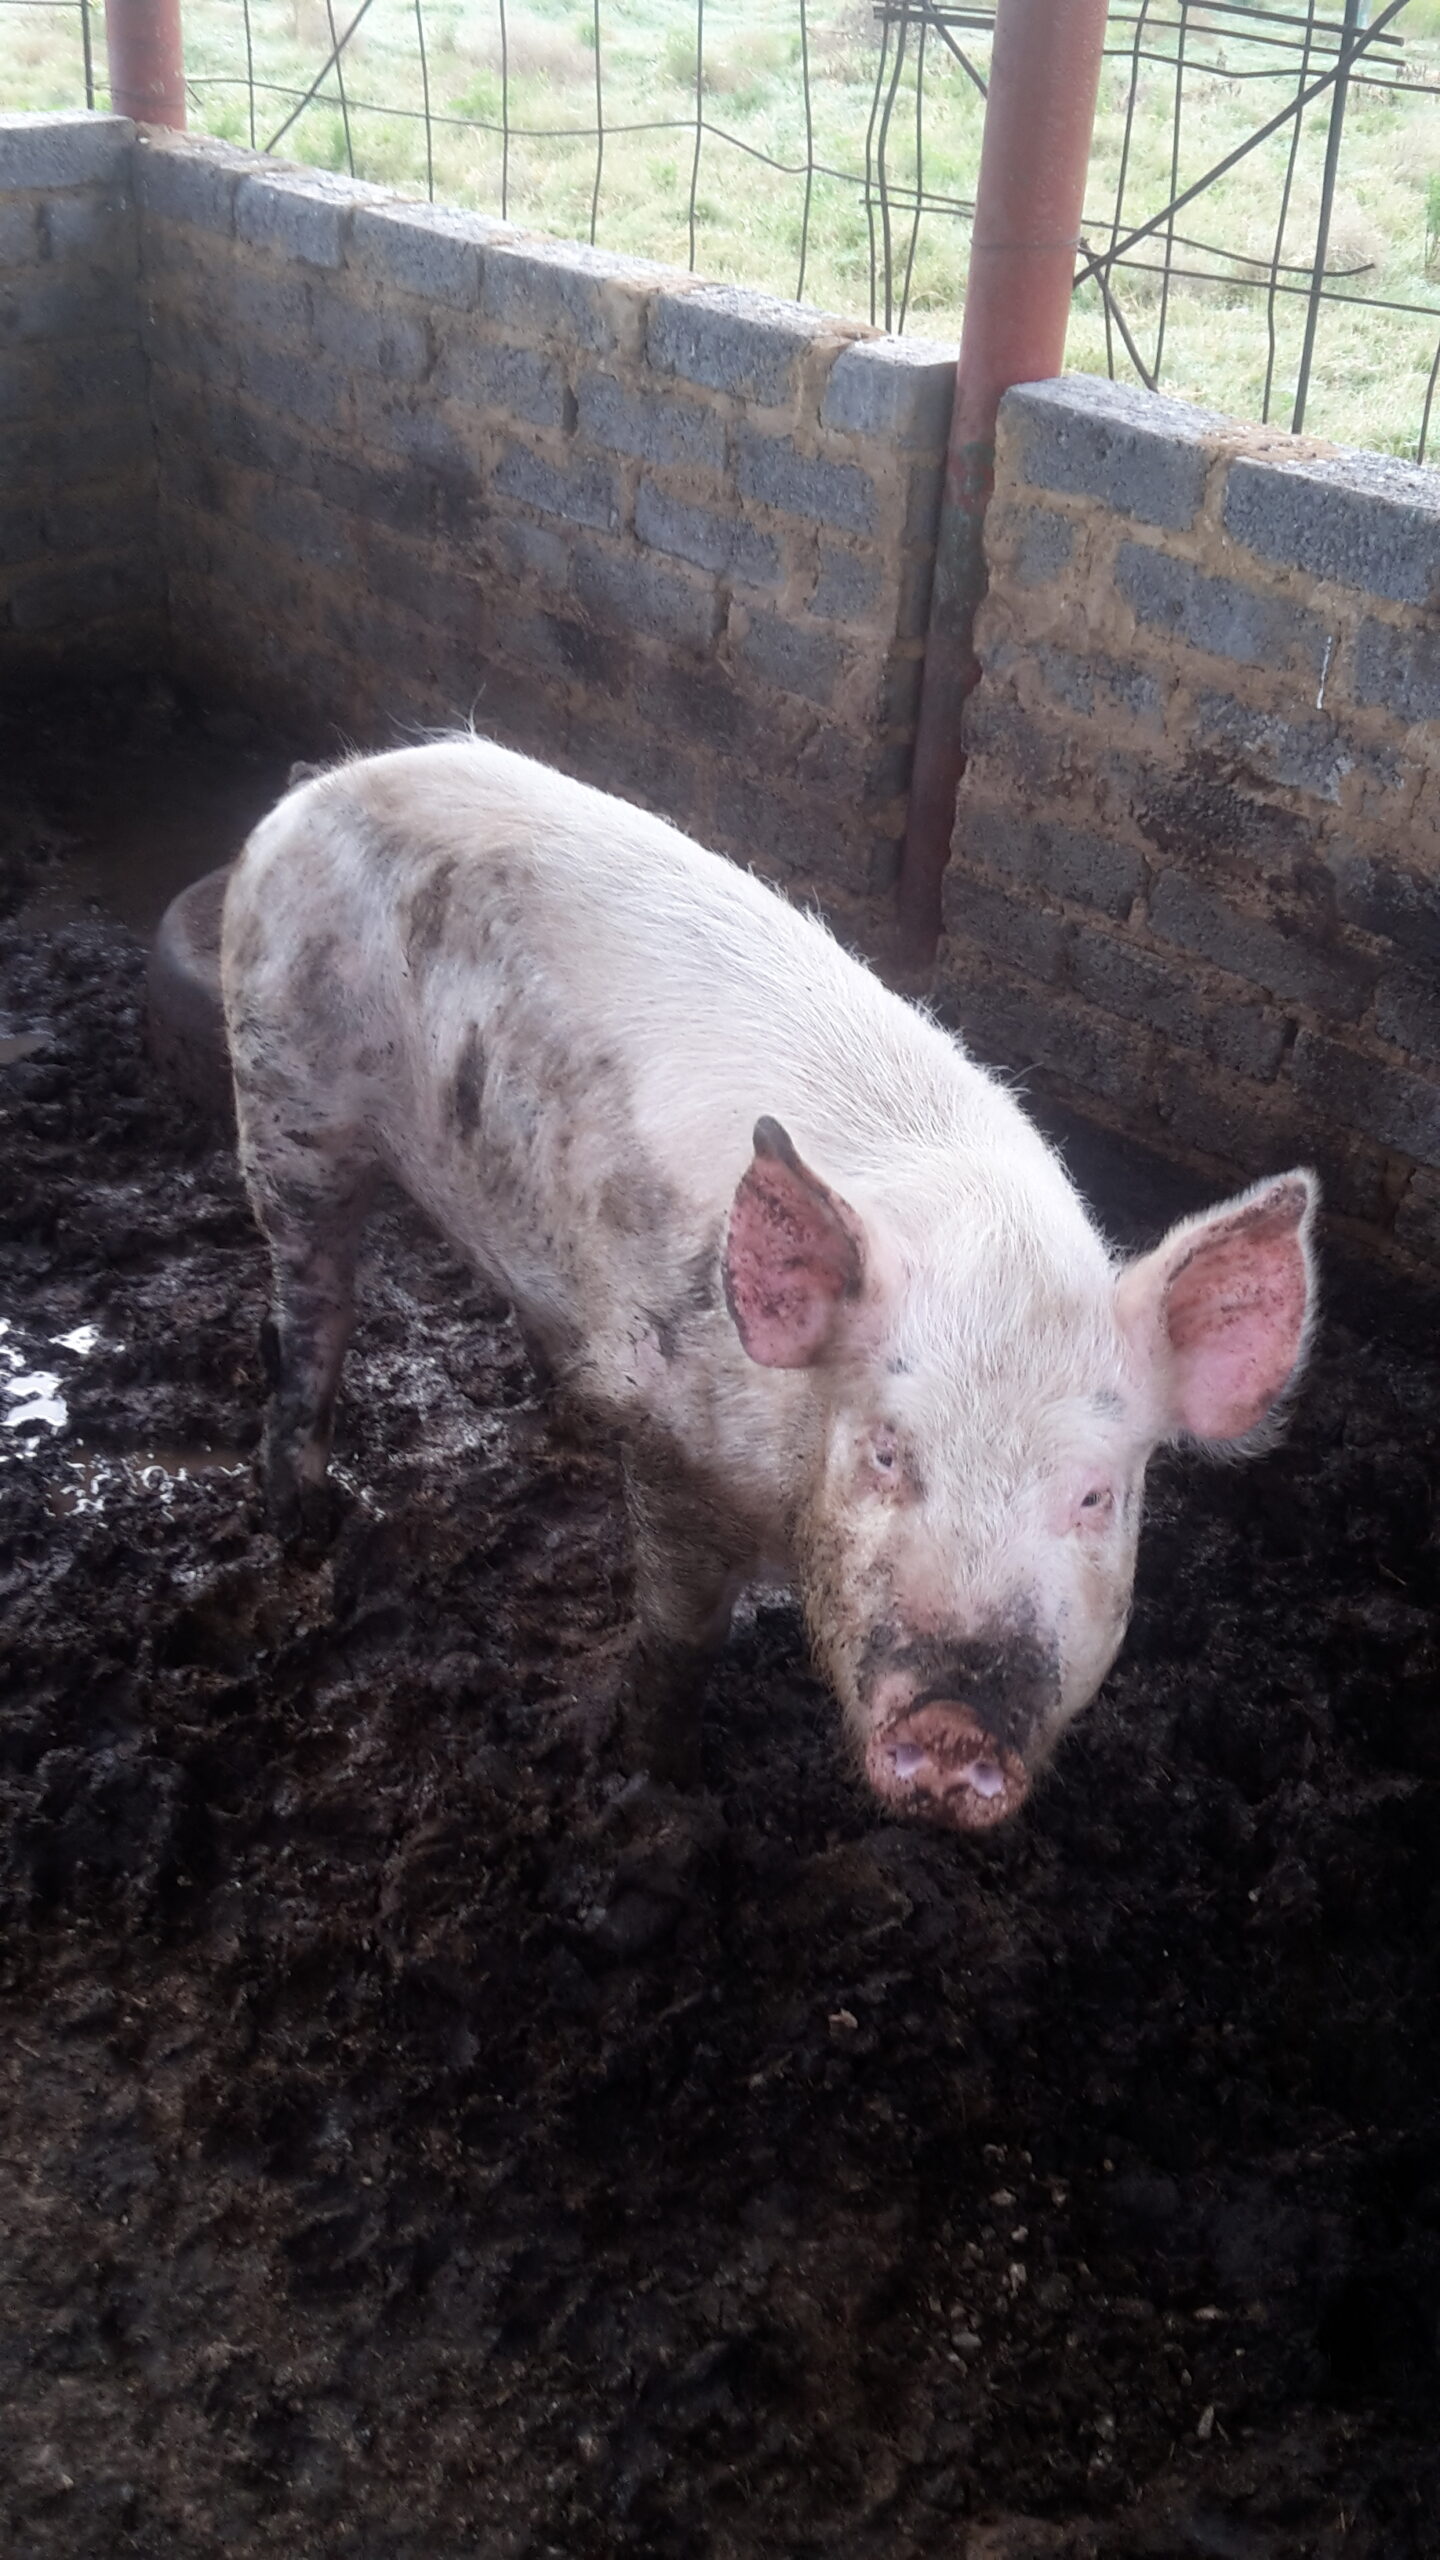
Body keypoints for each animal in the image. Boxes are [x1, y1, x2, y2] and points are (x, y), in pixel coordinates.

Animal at [221, 736, 1317, 1831]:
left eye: (1095, 1495)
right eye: (886, 1453)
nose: (956, 1721)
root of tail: (319, 790)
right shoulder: (677, 1445)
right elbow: (679, 1636)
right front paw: (661, 1788)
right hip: (284, 1095)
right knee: (313, 1305)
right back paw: (304, 1523)